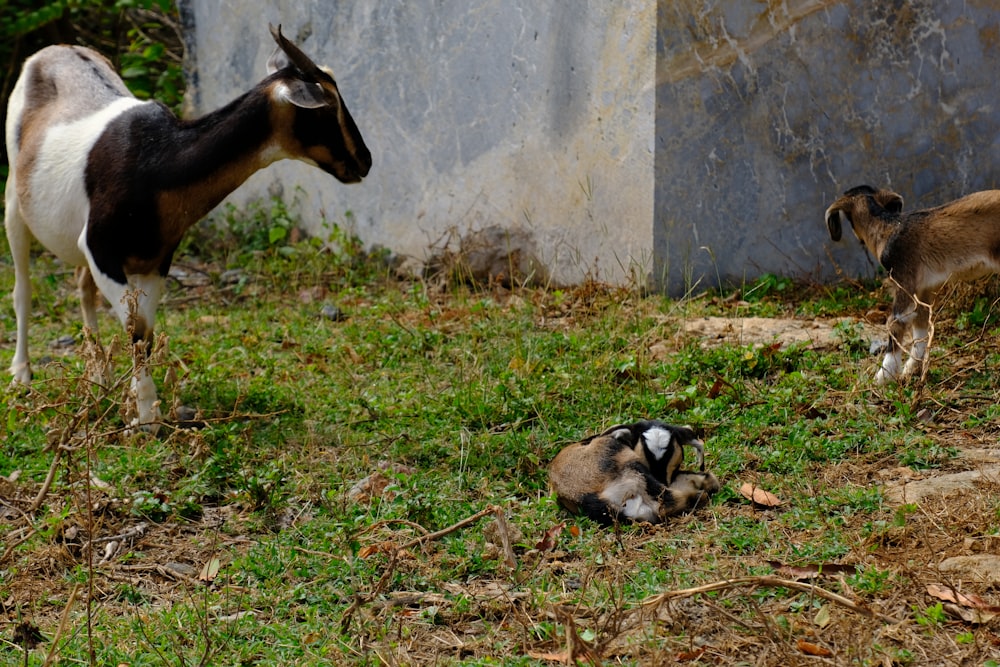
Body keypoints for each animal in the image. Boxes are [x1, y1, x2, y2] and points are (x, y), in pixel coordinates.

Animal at [4, 23, 372, 430]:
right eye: (326, 108)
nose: (364, 161)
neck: (159, 159)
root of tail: (55, 50)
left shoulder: (156, 258)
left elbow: (146, 331)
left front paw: (140, 407)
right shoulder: (102, 251)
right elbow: (136, 329)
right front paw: (145, 418)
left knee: (83, 288)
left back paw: (100, 377)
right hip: (14, 200)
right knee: (23, 288)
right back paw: (22, 374)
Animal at [824, 185, 1000, 384]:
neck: (887, 227)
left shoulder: (903, 279)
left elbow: (896, 321)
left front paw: (884, 376)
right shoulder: (924, 288)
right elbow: (921, 322)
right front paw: (911, 369)